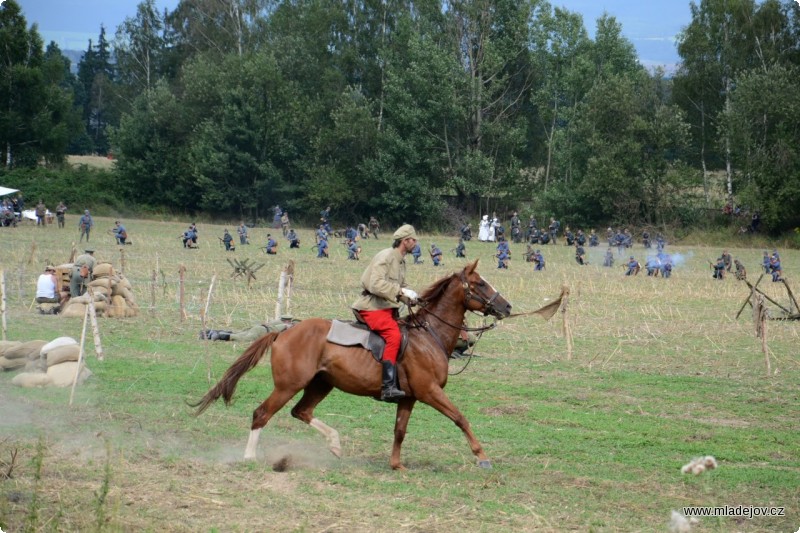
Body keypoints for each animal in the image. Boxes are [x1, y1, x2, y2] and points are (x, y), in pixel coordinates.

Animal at [191, 260, 510, 468]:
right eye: (480, 284)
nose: (506, 307)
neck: (428, 335)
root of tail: (283, 331)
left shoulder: (409, 398)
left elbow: (400, 431)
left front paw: (396, 465)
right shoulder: (430, 391)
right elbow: (460, 418)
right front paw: (482, 456)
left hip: (321, 384)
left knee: (301, 412)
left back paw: (334, 443)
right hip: (288, 385)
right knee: (262, 414)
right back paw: (248, 458)